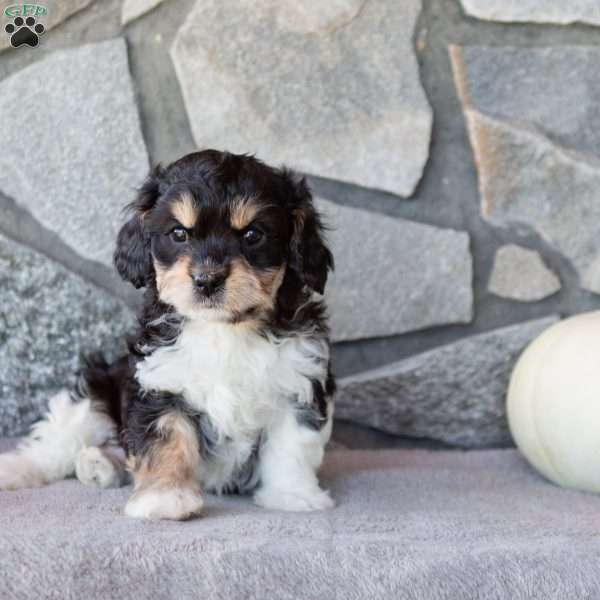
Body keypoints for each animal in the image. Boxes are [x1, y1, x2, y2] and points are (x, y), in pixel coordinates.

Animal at [0, 150, 338, 520]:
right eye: (178, 234)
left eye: (253, 235)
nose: (207, 279)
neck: (223, 328)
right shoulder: (159, 383)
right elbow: (165, 440)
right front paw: (165, 498)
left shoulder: (299, 380)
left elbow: (292, 444)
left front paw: (293, 495)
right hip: (96, 389)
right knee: (59, 438)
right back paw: (22, 469)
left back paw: (100, 464)